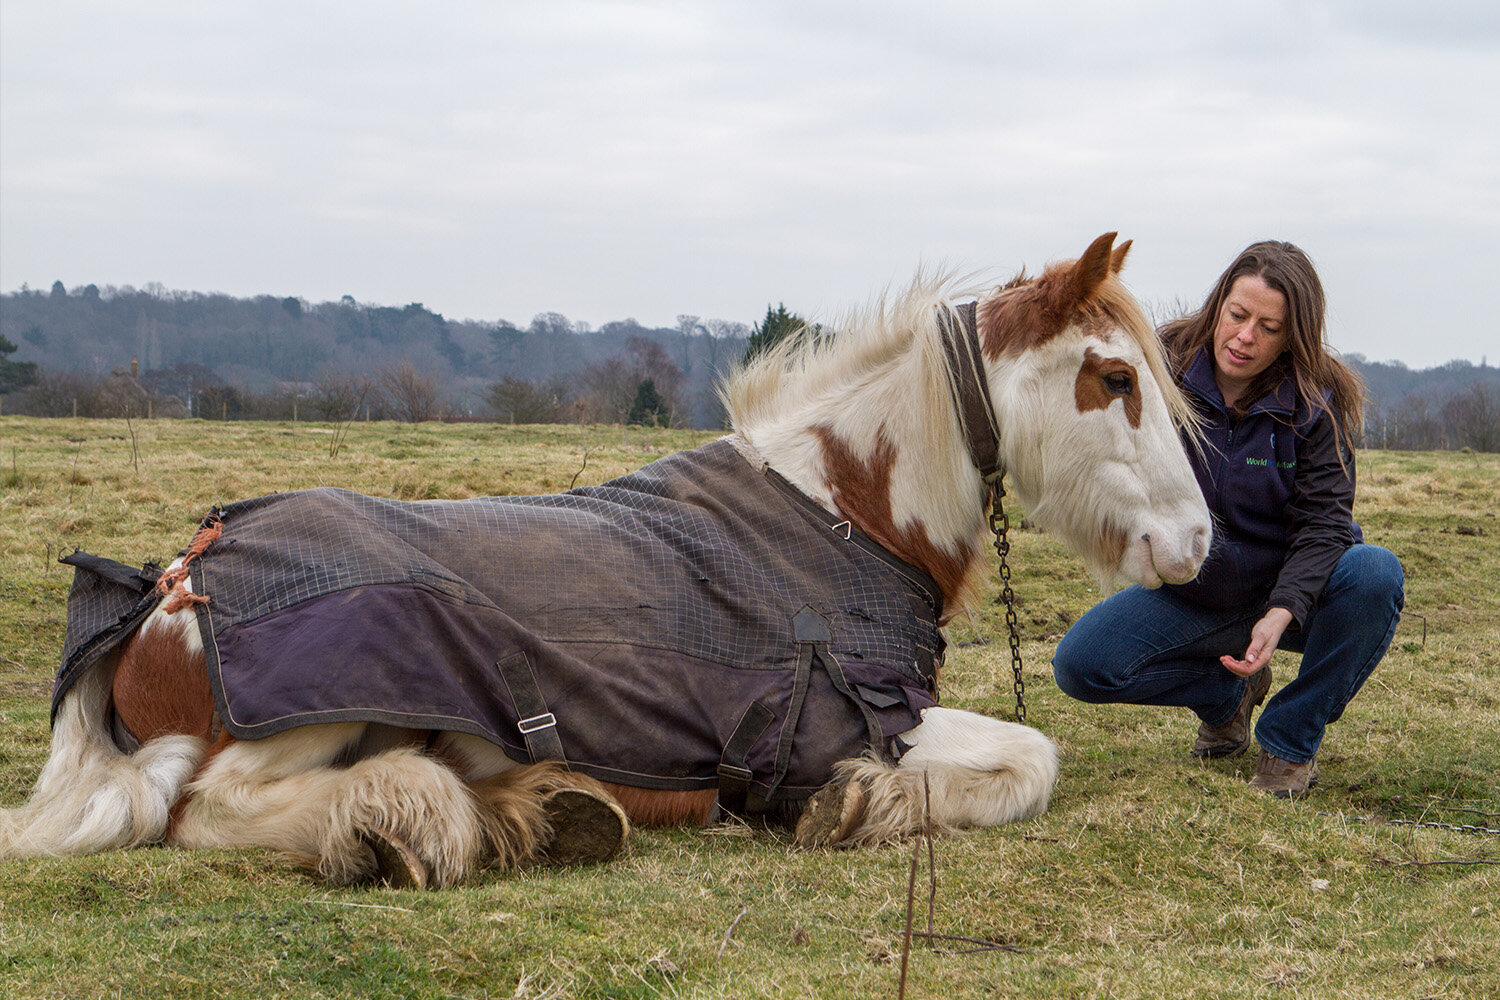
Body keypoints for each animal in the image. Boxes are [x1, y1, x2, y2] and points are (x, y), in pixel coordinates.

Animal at [0, 236, 1212, 893]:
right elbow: (1031, 758)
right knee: (210, 807)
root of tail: (171, 586)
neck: (840, 515)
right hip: (319, 711)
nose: (1198, 544)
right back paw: (431, 817)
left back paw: (534, 805)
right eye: (1112, 377)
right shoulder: (860, 719)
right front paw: (864, 806)